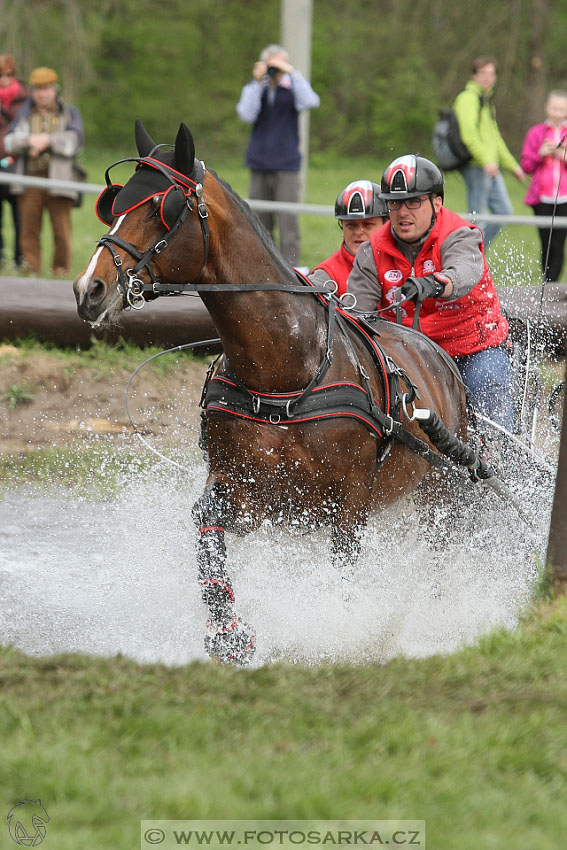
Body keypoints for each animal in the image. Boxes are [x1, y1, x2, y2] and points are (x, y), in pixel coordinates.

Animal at [73, 121, 468, 664]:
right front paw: (228, 632)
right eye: (115, 204)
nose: (89, 289)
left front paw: (339, 635)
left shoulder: (348, 506)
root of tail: (436, 356)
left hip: (440, 497)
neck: (284, 370)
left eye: (160, 210)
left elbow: (343, 578)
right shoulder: (247, 493)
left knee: (440, 553)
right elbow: (207, 535)